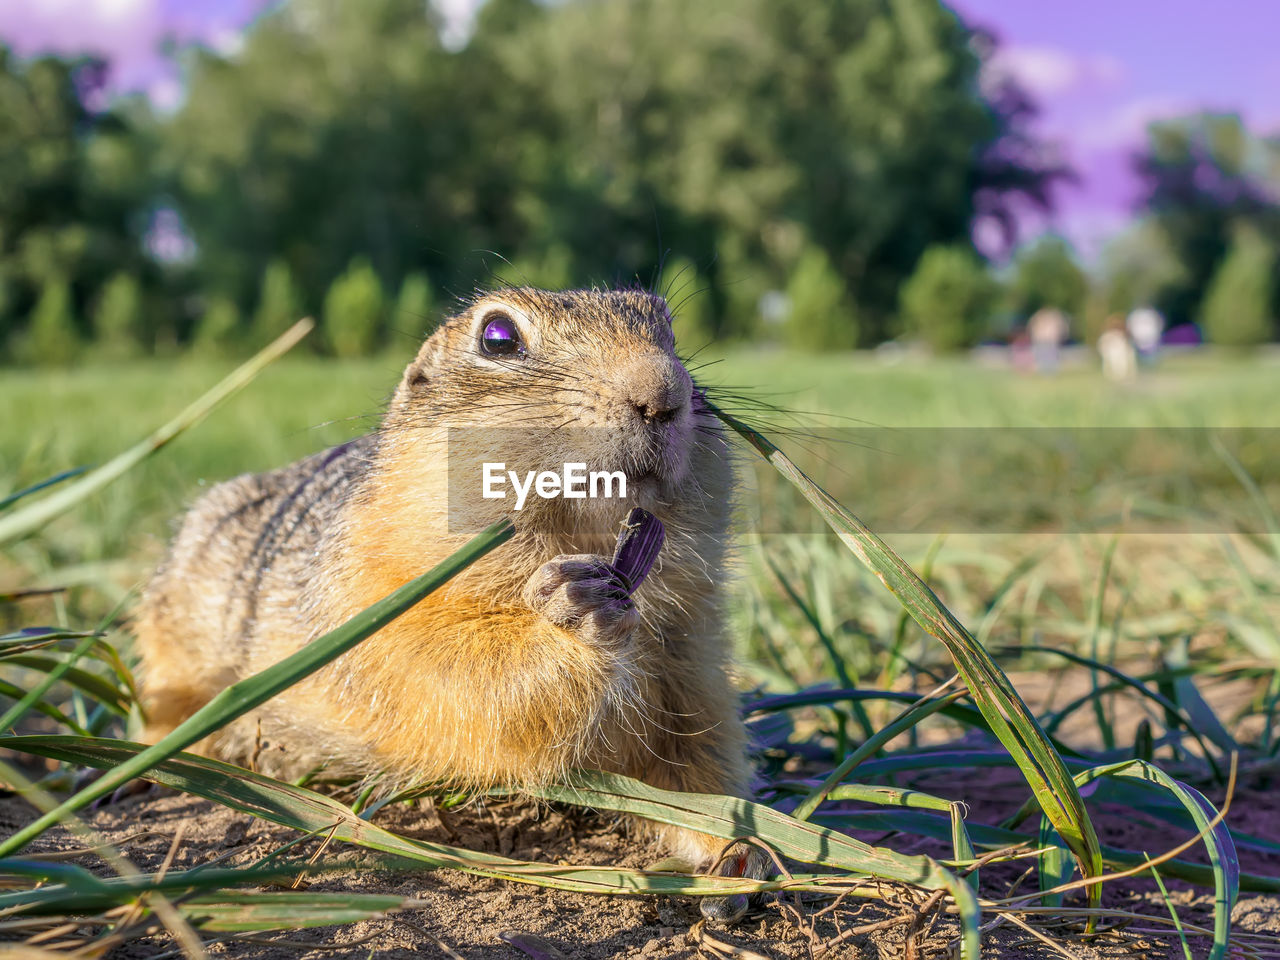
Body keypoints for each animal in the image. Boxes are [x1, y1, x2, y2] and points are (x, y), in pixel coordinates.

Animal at [135, 289, 762, 921]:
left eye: (668, 324)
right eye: (497, 336)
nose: (664, 393)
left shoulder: (689, 655)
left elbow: (695, 763)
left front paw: (737, 855)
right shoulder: (383, 611)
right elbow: (464, 682)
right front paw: (573, 613)